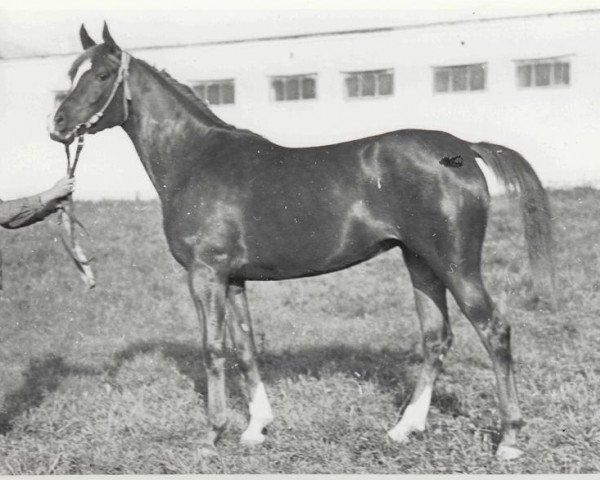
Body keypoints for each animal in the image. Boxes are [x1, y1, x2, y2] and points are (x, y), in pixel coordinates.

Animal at [49, 24, 556, 460]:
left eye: (101, 74)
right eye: (70, 73)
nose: (57, 125)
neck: (196, 159)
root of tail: (463, 148)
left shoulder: (205, 273)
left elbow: (213, 350)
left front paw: (211, 435)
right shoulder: (233, 279)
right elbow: (245, 347)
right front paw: (256, 428)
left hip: (455, 263)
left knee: (494, 329)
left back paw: (509, 439)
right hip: (421, 262)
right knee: (436, 338)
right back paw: (404, 428)